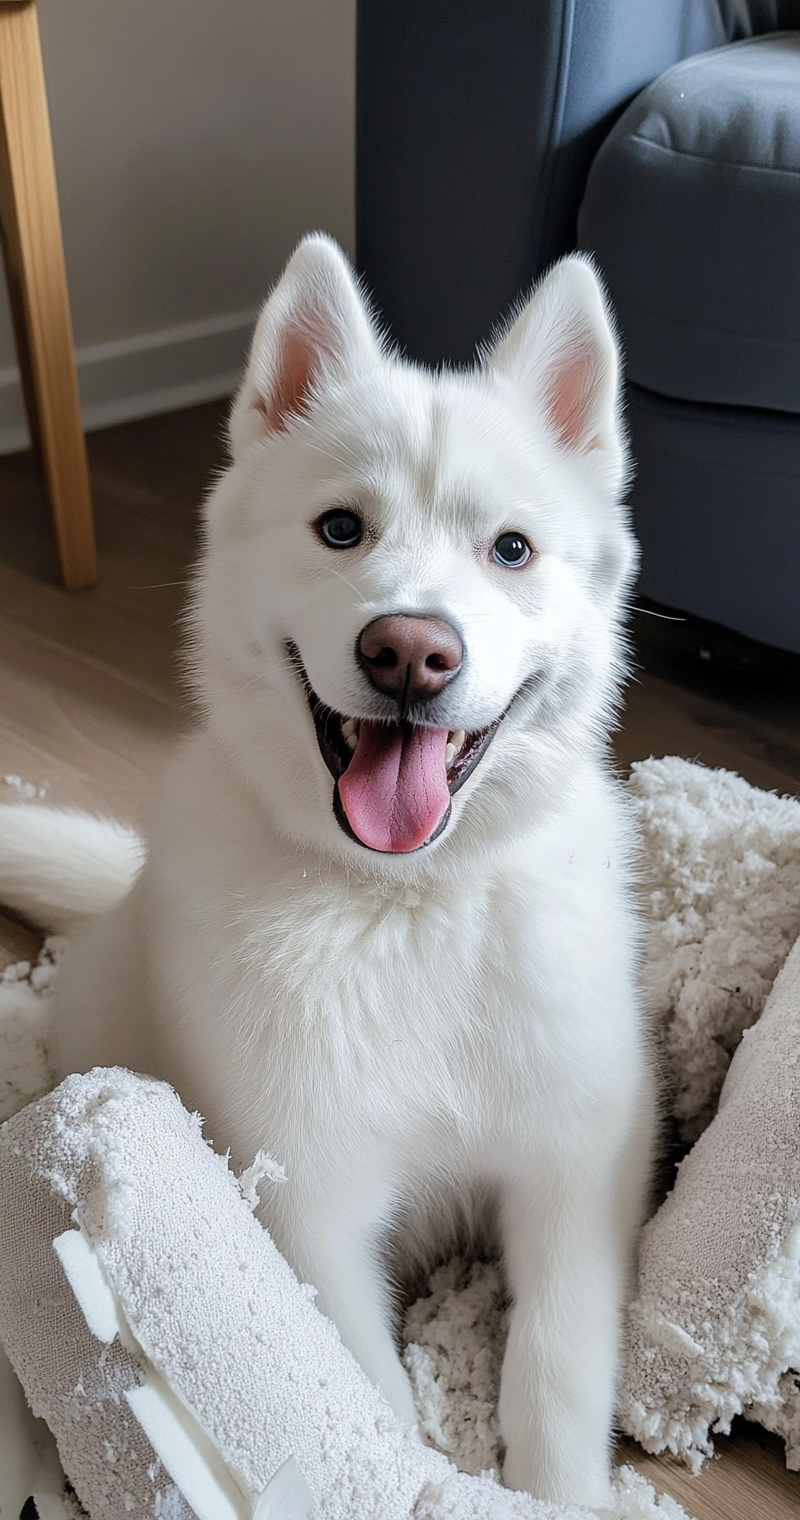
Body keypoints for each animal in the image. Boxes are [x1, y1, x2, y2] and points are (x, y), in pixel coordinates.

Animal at [0, 237, 650, 1507]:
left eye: (510, 548)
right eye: (339, 528)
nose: (408, 651)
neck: (411, 903)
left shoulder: (578, 1162)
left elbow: (555, 1357)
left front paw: (556, 1483)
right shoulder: (307, 1200)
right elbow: (361, 1391)